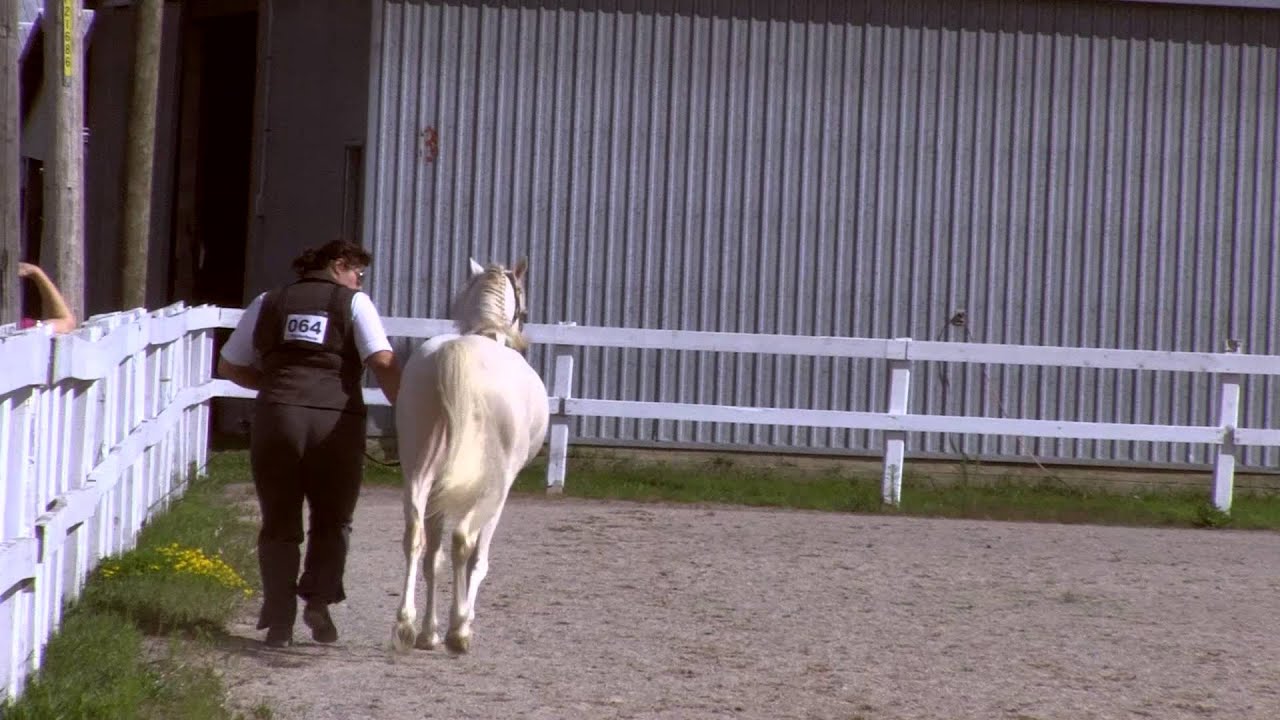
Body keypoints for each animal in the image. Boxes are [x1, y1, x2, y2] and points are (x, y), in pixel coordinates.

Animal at [391, 257, 549, 654]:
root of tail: (456, 355)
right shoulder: (499, 489)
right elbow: (478, 558)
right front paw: (456, 625)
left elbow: (433, 558)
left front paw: (428, 632)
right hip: (494, 486)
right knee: (465, 542)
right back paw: (459, 629)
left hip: (418, 469)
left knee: (416, 538)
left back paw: (407, 625)